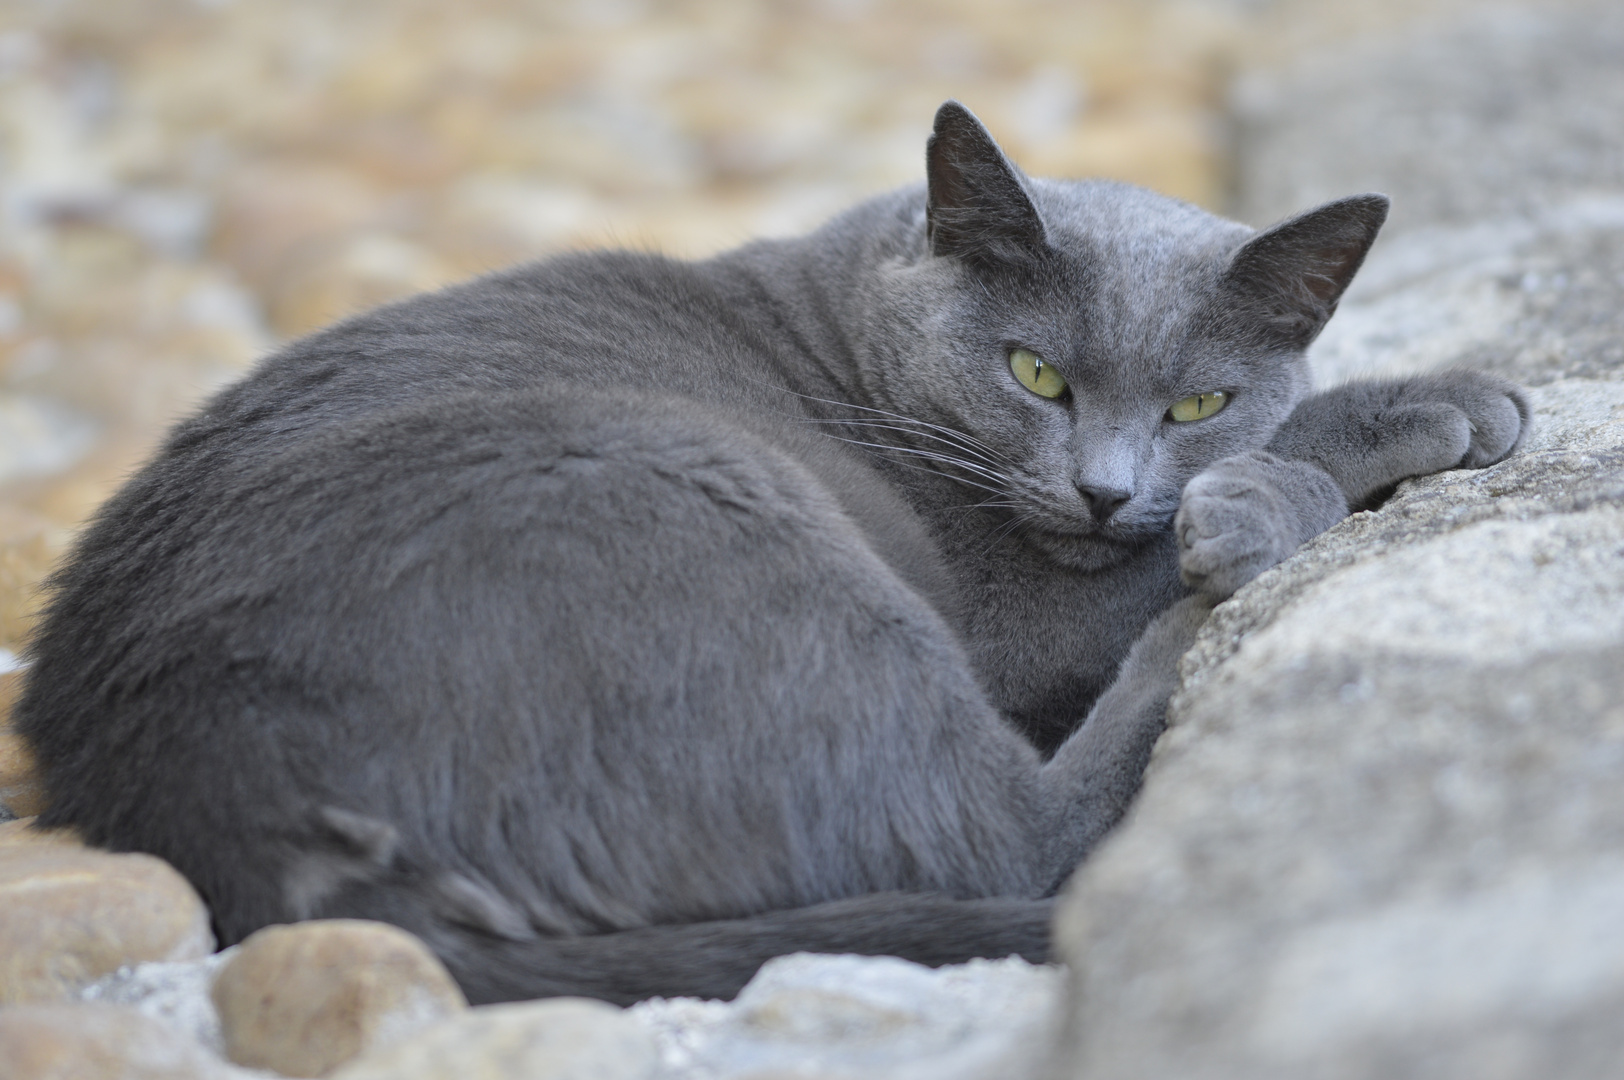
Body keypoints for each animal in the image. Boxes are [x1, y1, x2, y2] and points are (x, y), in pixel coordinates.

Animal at [19, 101, 1526, 1000]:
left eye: (1196, 403)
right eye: (1034, 373)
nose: (1104, 491)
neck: (842, 330)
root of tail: (237, 816)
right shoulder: (1013, 615)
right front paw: (1433, 401)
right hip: (720, 502)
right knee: (1011, 840)